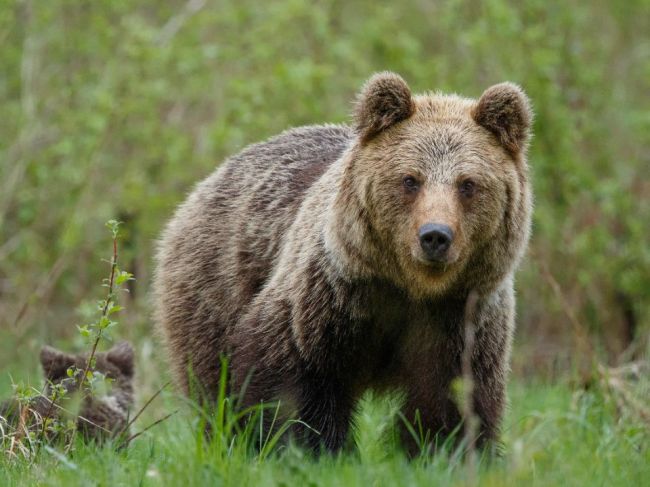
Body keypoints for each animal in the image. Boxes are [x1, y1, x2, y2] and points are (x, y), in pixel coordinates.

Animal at [153, 71, 532, 454]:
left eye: (467, 184)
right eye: (410, 180)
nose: (435, 236)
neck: (410, 287)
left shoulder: (459, 318)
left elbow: (451, 402)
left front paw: (441, 449)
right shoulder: (329, 297)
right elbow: (293, 380)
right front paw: (308, 447)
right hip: (215, 282)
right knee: (212, 383)